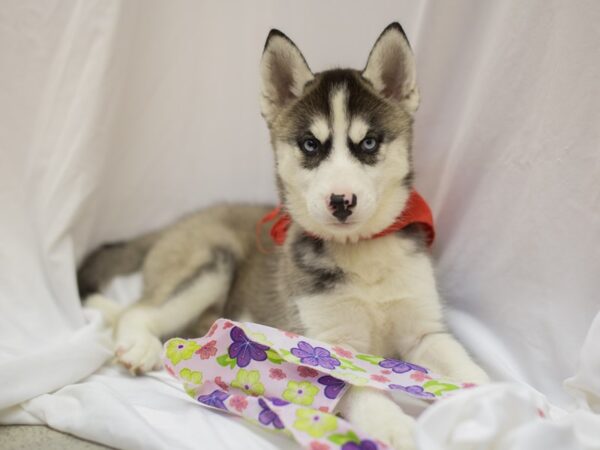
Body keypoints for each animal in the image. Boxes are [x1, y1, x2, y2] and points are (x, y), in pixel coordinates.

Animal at [78, 22, 488, 450]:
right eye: (310, 144)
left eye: (369, 142)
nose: (341, 201)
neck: (361, 255)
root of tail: (184, 219)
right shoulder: (327, 347)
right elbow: (362, 390)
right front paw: (394, 427)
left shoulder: (425, 332)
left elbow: (466, 367)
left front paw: (498, 400)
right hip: (213, 261)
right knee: (135, 311)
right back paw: (139, 345)